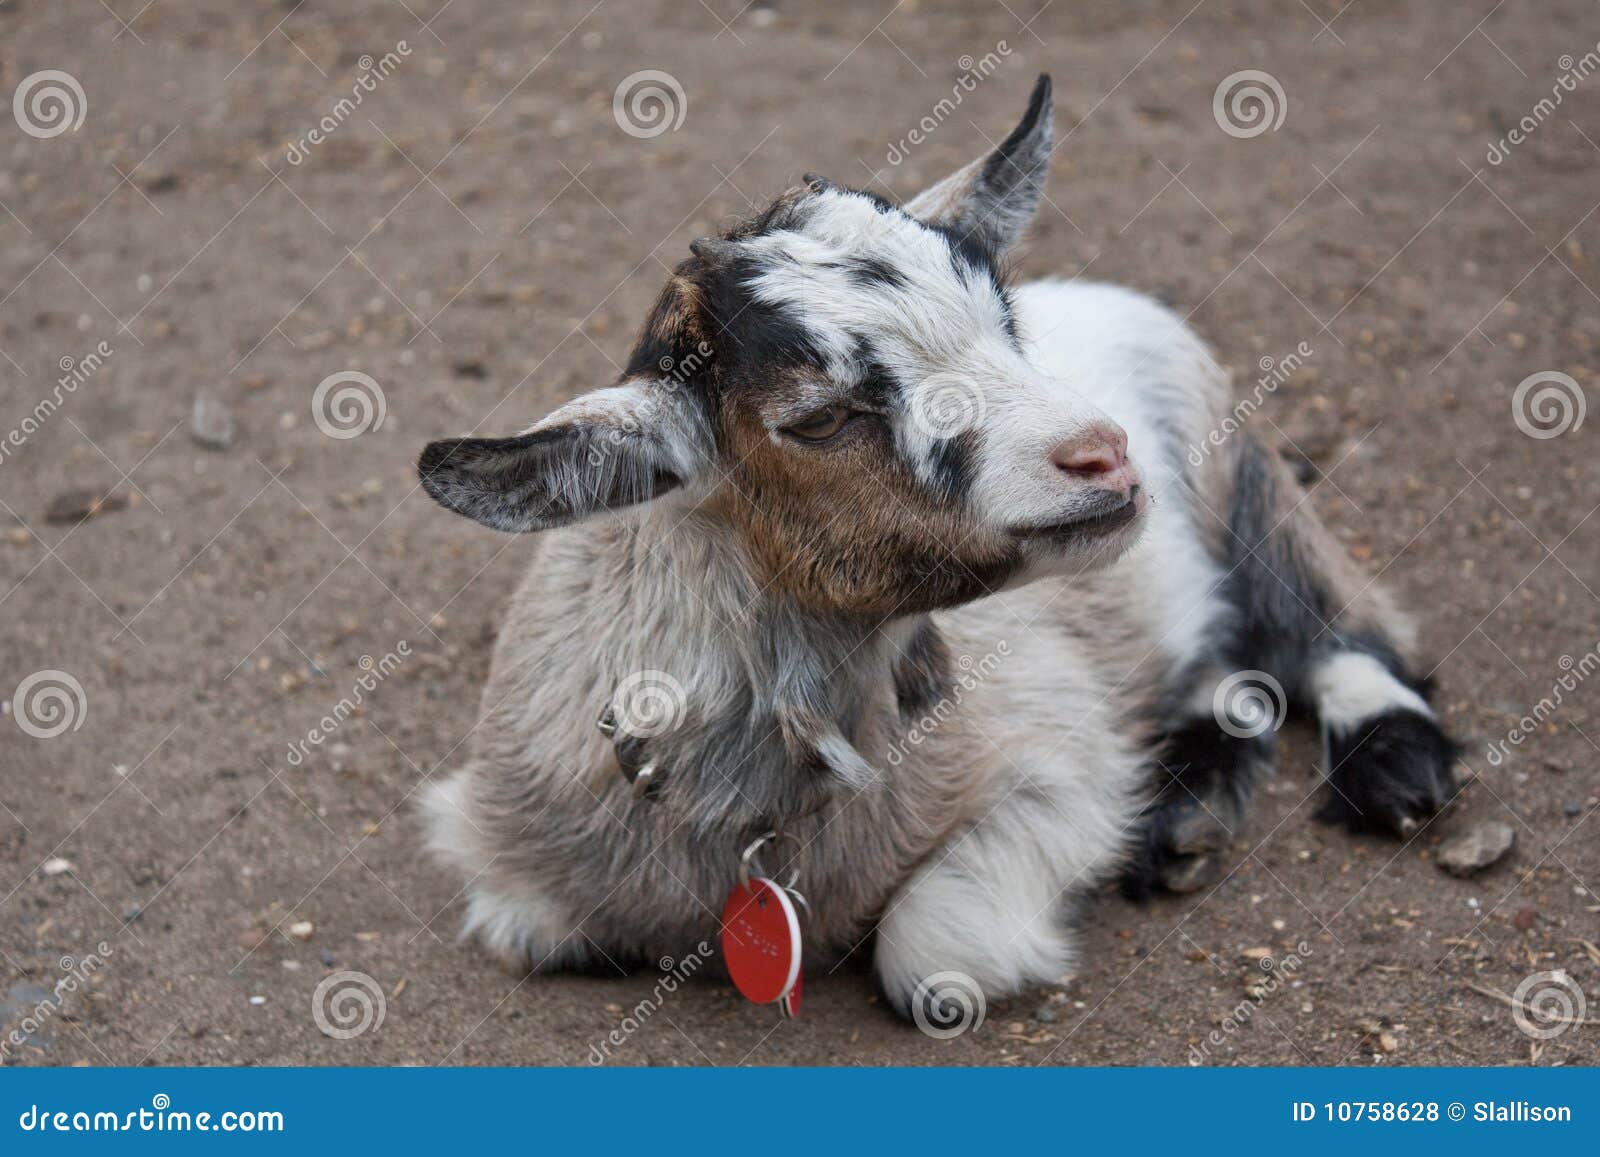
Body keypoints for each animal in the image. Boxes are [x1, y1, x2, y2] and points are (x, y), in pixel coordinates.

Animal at [416, 75, 1458, 1021]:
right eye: (820, 417)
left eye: (1005, 323)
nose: (1103, 453)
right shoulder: (512, 882)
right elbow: (544, 929)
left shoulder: (1058, 759)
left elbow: (934, 956)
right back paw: (1193, 805)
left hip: (1241, 477)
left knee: (1338, 626)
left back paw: (1393, 768)